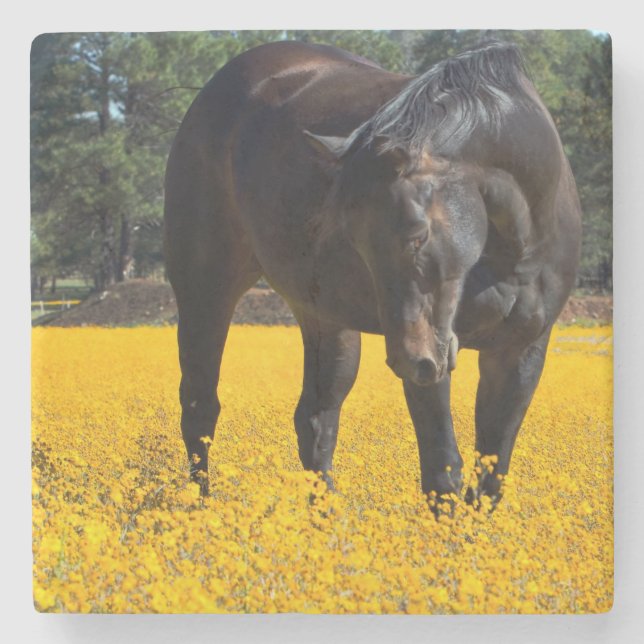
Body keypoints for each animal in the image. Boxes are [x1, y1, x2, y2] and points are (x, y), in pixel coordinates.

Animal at [164, 40, 582, 508]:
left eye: (418, 233)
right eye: (356, 239)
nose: (407, 359)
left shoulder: (520, 351)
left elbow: (490, 478)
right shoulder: (433, 358)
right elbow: (443, 471)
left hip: (327, 320)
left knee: (315, 421)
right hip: (206, 290)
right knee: (200, 407)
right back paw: (199, 507)